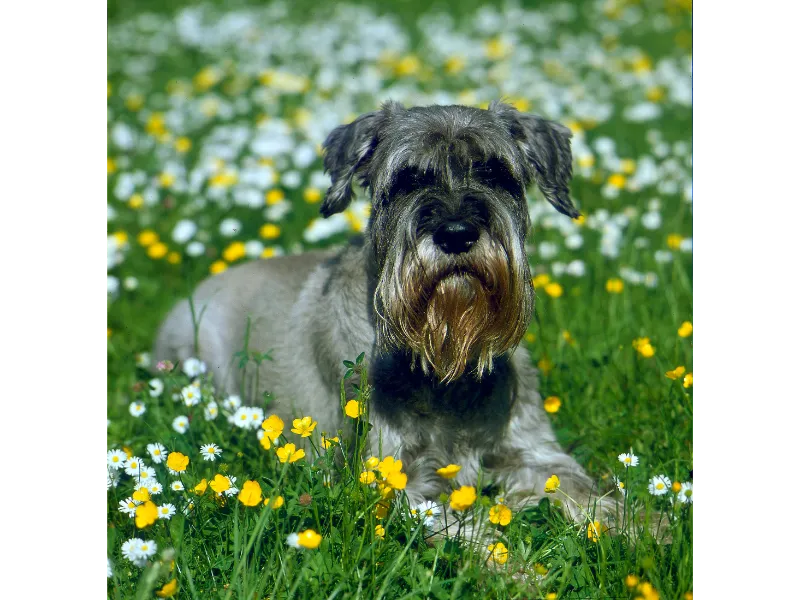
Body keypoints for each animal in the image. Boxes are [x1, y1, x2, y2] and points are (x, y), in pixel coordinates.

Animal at [156, 99, 620, 540]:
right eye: (407, 180)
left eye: (494, 173)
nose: (456, 234)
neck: (443, 362)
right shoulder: (393, 481)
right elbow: (466, 534)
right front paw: (512, 566)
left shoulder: (536, 453)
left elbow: (586, 493)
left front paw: (632, 534)